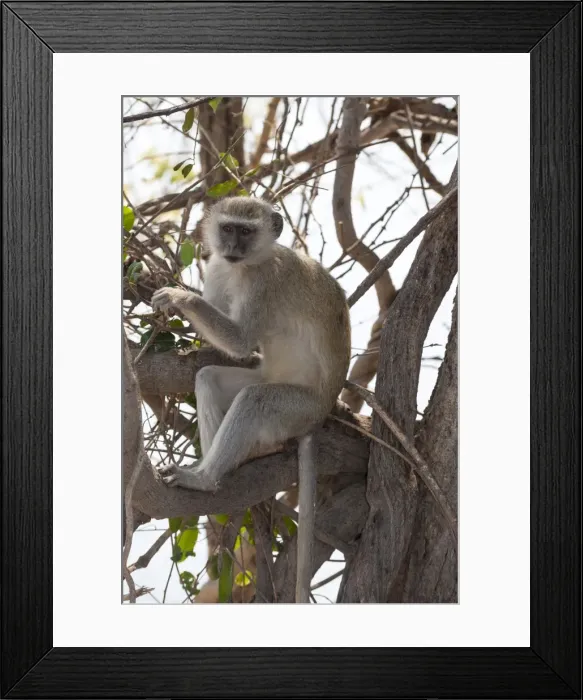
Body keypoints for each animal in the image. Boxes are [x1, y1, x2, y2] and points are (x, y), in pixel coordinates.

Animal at [151, 196, 351, 602]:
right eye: (228, 228)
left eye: (246, 231)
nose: (232, 247)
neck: (247, 265)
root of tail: (320, 414)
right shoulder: (218, 266)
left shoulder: (264, 282)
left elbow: (241, 341)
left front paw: (179, 296)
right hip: (270, 382)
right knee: (209, 379)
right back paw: (210, 468)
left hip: (295, 408)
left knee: (254, 400)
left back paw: (206, 479)